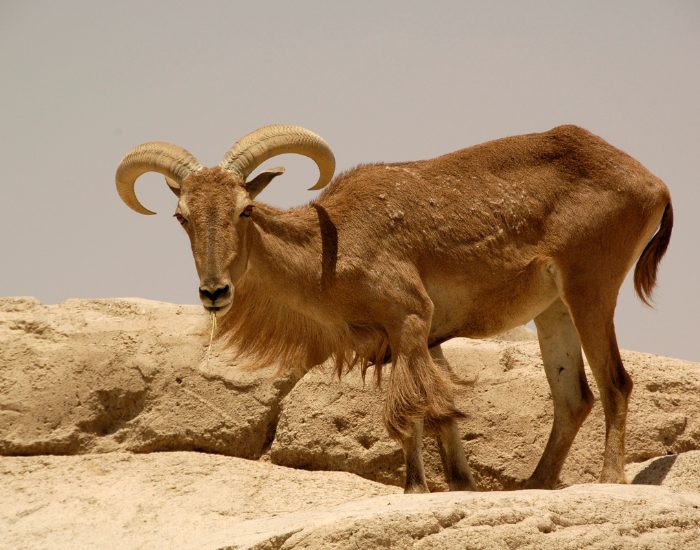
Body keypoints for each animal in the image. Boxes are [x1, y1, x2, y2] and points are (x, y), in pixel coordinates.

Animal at [116, 124, 672, 493]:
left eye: (244, 209)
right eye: (181, 216)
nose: (215, 292)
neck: (329, 249)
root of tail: (654, 184)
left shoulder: (408, 320)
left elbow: (409, 410)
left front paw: (415, 488)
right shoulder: (424, 339)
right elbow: (443, 410)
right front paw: (460, 484)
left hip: (590, 286)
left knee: (615, 383)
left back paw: (609, 480)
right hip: (552, 310)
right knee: (573, 397)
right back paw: (534, 483)